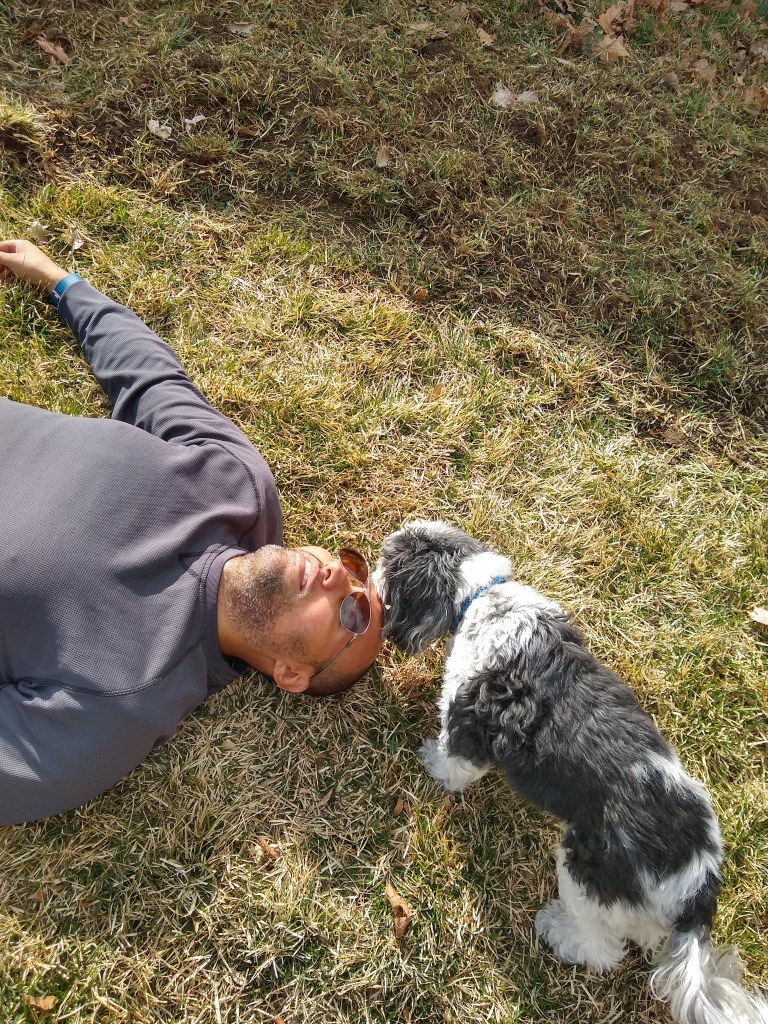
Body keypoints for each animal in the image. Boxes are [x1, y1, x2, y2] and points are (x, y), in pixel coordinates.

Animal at [376, 519, 768, 1024]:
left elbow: (455, 761)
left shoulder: (469, 723)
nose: (371, 575)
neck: (484, 596)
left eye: (388, 563)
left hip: (583, 872)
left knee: (601, 948)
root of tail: (696, 887)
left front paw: (432, 764)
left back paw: (556, 930)